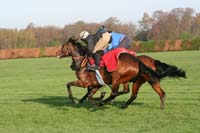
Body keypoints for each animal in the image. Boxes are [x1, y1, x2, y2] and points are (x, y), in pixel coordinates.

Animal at [56, 37, 186, 109]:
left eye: (63, 47)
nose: (57, 54)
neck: (83, 62)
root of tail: (138, 61)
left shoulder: (84, 82)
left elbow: (69, 85)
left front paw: (75, 99)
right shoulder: (96, 84)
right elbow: (89, 95)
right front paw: (91, 99)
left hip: (119, 78)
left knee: (116, 93)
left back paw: (103, 103)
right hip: (140, 80)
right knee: (149, 93)